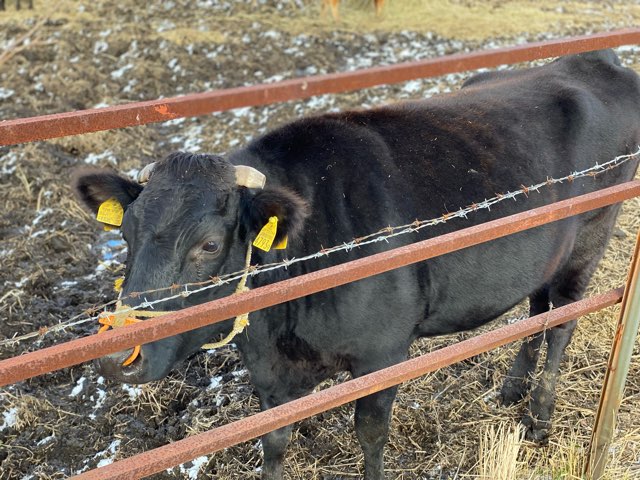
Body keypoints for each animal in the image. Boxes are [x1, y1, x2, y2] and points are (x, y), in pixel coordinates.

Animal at [74, 50, 640, 478]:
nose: (117, 357)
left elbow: (370, 433)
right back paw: (511, 389)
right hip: (547, 253)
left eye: (210, 246)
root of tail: (594, 60)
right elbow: (273, 441)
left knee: (562, 322)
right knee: (537, 309)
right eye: (124, 232)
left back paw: (539, 417)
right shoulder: (271, 372)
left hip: (589, 240)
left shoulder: (382, 352)